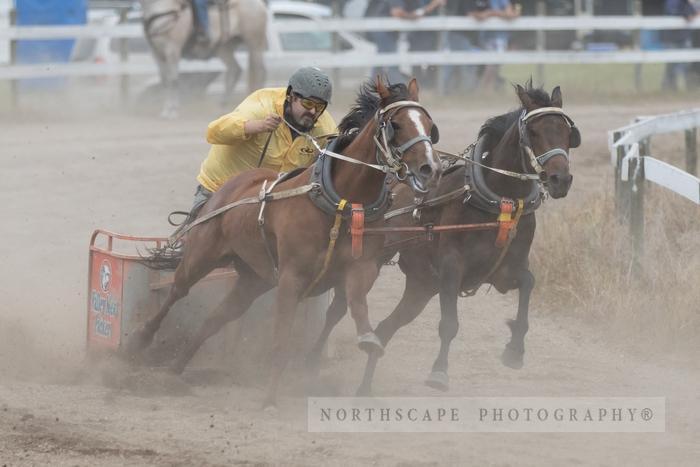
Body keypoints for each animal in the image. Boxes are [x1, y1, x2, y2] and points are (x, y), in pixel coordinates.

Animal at [133, 78, 440, 408]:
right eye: (396, 124)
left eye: (429, 125)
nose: (430, 168)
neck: (339, 204)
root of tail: (230, 187)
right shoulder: (291, 278)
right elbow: (280, 340)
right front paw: (269, 397)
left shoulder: (361, 268)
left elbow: (357, 305)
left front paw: (369, 340)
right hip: (201, 255)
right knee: (178, 291)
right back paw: (140, 340)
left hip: (253, 279)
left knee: (217, 318)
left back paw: (176, 369)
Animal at [138, 0, 266, 119]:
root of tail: (259, 4)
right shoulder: (156, 53)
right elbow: (165, 81)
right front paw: (166, 110)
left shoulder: (172, 50)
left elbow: (173, 81)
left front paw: (173, 111)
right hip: (224, 48)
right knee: (235, 70)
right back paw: (222, 106)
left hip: (255, 45)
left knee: (258, 72)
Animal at [304, 82, 576, 396]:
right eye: (533, 131)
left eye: (568, 131)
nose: (560, 179)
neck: (500, 202)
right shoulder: (450, 267)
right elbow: (449, 324)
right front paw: (439, 372)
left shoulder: (506, 270)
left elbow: (529, 283)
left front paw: (515, 350)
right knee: (338, 309)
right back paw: (312, 362)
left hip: (422, 286)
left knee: (385, 328)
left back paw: (364, 389)